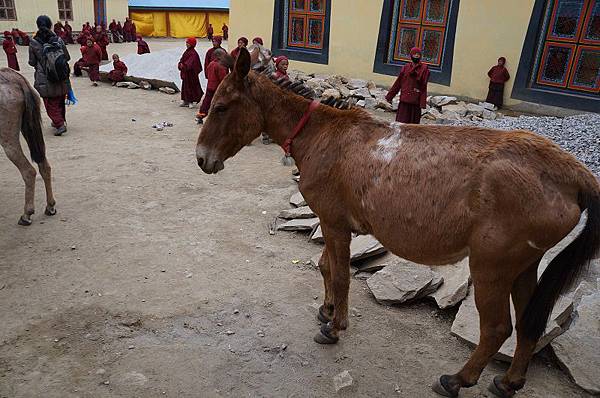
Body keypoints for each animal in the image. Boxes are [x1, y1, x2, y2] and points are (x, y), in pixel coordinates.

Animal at [0, 67, 56, 225]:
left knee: (28, 170)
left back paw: (27, 214)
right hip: (30, 127)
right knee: (44, 165)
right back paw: (50, 206)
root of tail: (15, 79)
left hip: (7, 135)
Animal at [195, 49, 596, 398]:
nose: (201, 159)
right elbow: (325, 267)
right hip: (525, 264)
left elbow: (340, 276)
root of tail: (573, 174)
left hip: (491, 267)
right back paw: (509, 382)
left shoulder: (335, 224)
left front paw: (335, 328)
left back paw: (456, 380)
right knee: (530, 322)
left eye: (221, 107)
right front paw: (326, 310)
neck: (322, 134)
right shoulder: (330, 221)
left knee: (497, 328)